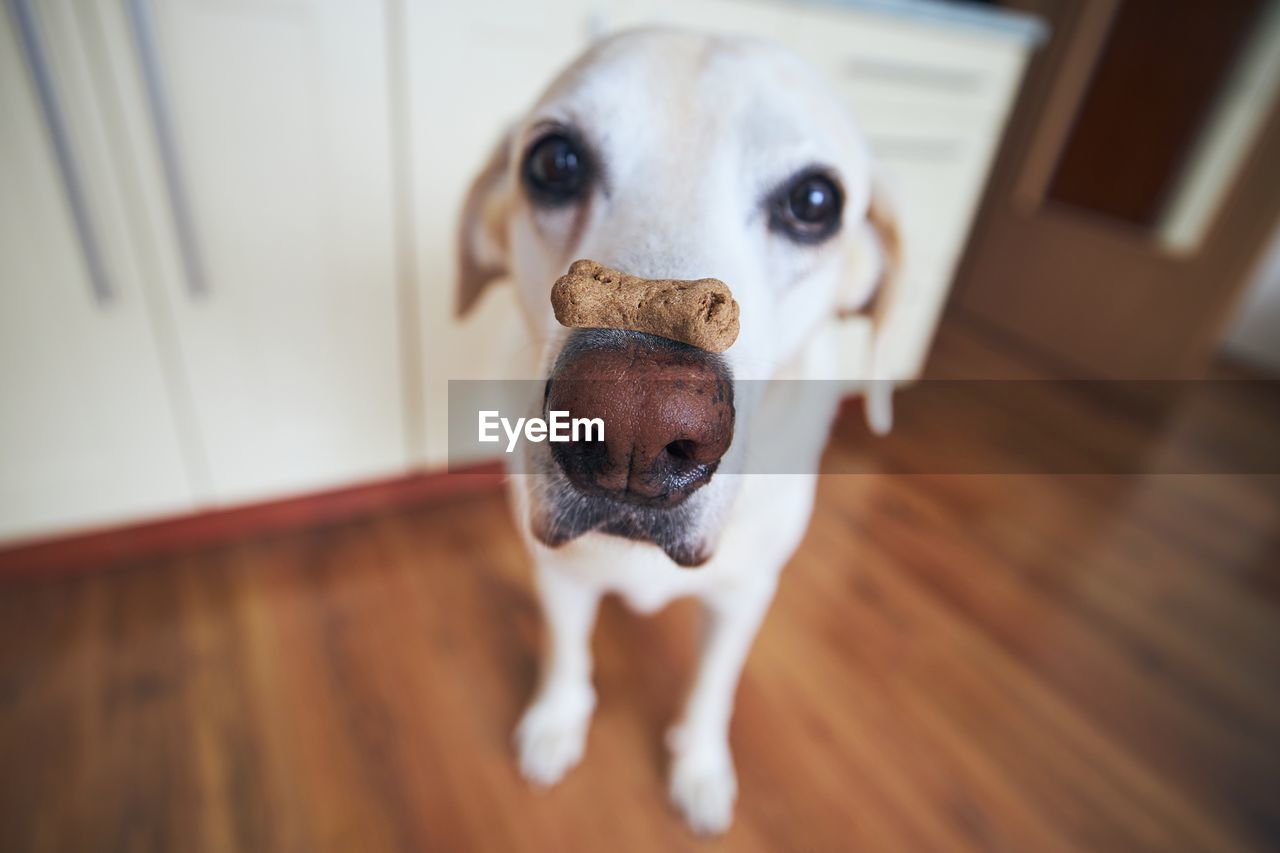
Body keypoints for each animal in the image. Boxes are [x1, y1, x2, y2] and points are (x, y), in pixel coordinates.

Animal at [450, 28, 901, 829]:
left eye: (814, 201)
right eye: (554, 161)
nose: (636, 422)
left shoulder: (745, 593)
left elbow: (713, 686)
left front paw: (698, 766)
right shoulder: (558, 570)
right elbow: (566, 651)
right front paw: (557, 721)